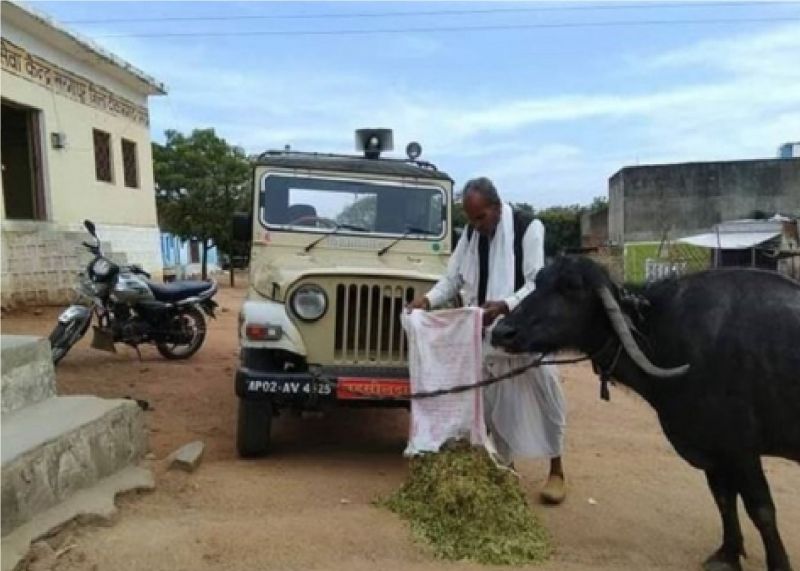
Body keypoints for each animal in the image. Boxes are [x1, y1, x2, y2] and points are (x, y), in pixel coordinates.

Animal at [491, 256, 800, 571]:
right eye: (538, 281)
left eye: (571, 286)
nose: (502, 331)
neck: (661, 333)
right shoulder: (709, 448)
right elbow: (723, 498)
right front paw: (727, 553)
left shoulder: (741, 450)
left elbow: (761, 510)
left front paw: (778, 564)